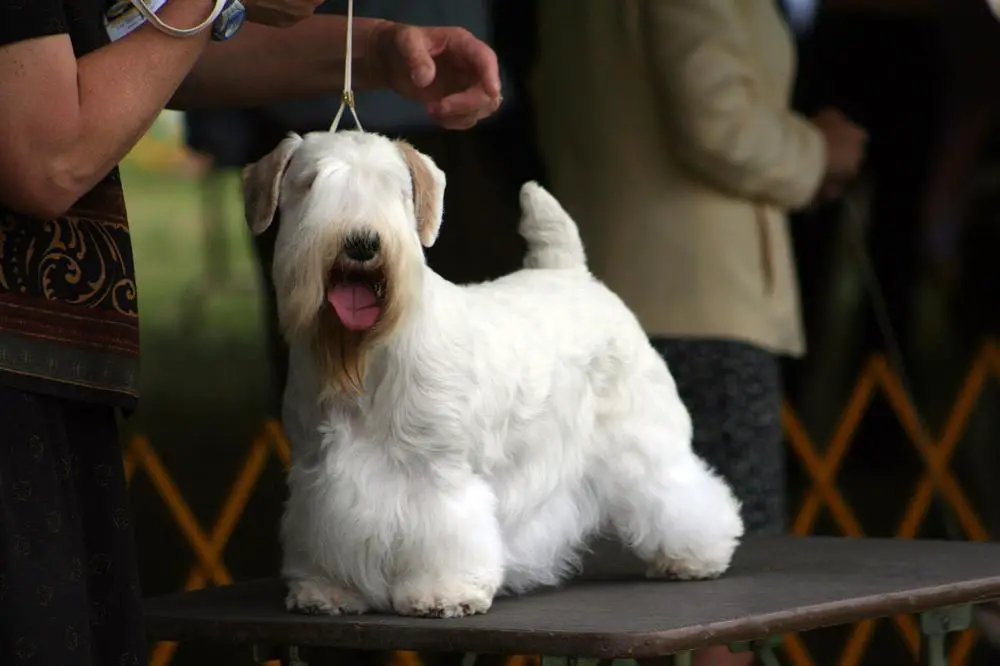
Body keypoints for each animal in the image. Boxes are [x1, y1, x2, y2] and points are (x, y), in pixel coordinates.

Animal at [242, 130, 744, 616]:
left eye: (395, 189)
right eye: (310, 184)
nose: (362, 243)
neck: (365, 358)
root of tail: (571, 273)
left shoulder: (438, 473)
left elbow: (447, 532)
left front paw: (444, 593)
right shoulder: (317, 474)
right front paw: (329, 589)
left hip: (642, 440)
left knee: (677, 488)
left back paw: (695, 556)